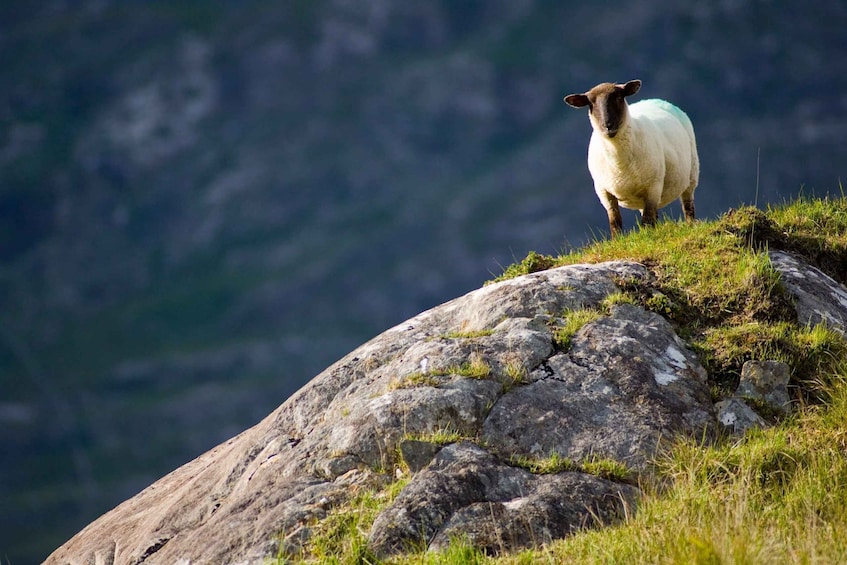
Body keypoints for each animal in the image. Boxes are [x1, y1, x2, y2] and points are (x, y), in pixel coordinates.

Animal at [568, 79, 700, 236]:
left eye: (619, 97)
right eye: (590, 104)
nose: (608, 125)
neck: (619, 163)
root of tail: (655, 100)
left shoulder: (653, 187)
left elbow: (647, 221)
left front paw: (648, 237)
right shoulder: (604, 192)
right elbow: (615, 222)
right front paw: (617, 239)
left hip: (691, 175)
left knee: (688, 205)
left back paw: (690, 224)